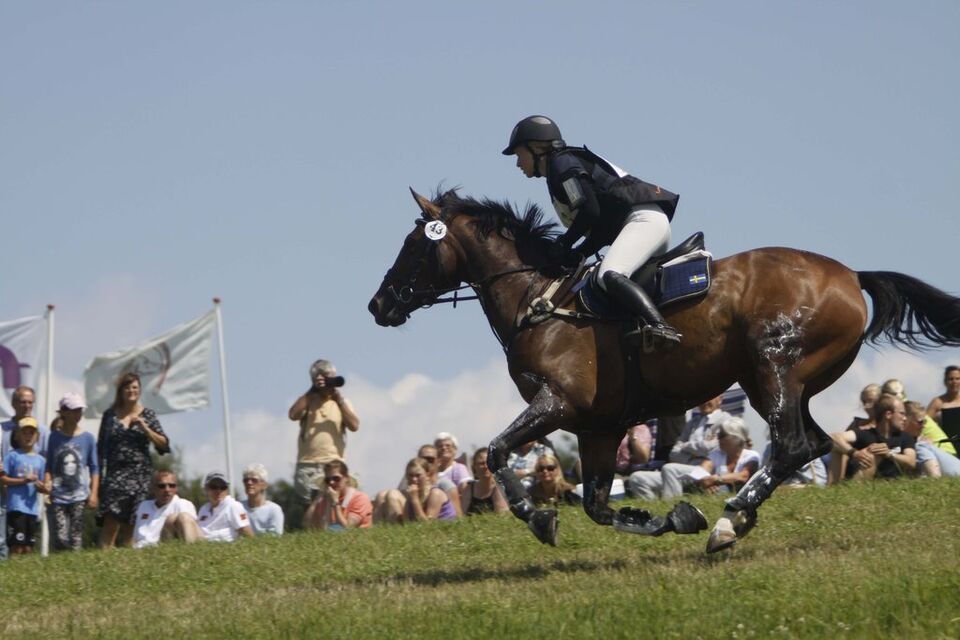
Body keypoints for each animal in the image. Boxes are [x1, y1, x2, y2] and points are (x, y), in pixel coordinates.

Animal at [368, 189, 960, 552]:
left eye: (415, 245)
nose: (379, 305)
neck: (538, 302)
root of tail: (851, 276)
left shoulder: (557, 402)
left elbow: (496, 453)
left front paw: (537, 517)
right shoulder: (599, 426)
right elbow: (599, 505)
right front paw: (675, 518)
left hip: (774, 366)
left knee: (792, 445)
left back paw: (728, 521)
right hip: (776, 381)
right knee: (810, 444)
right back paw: (733, 518)